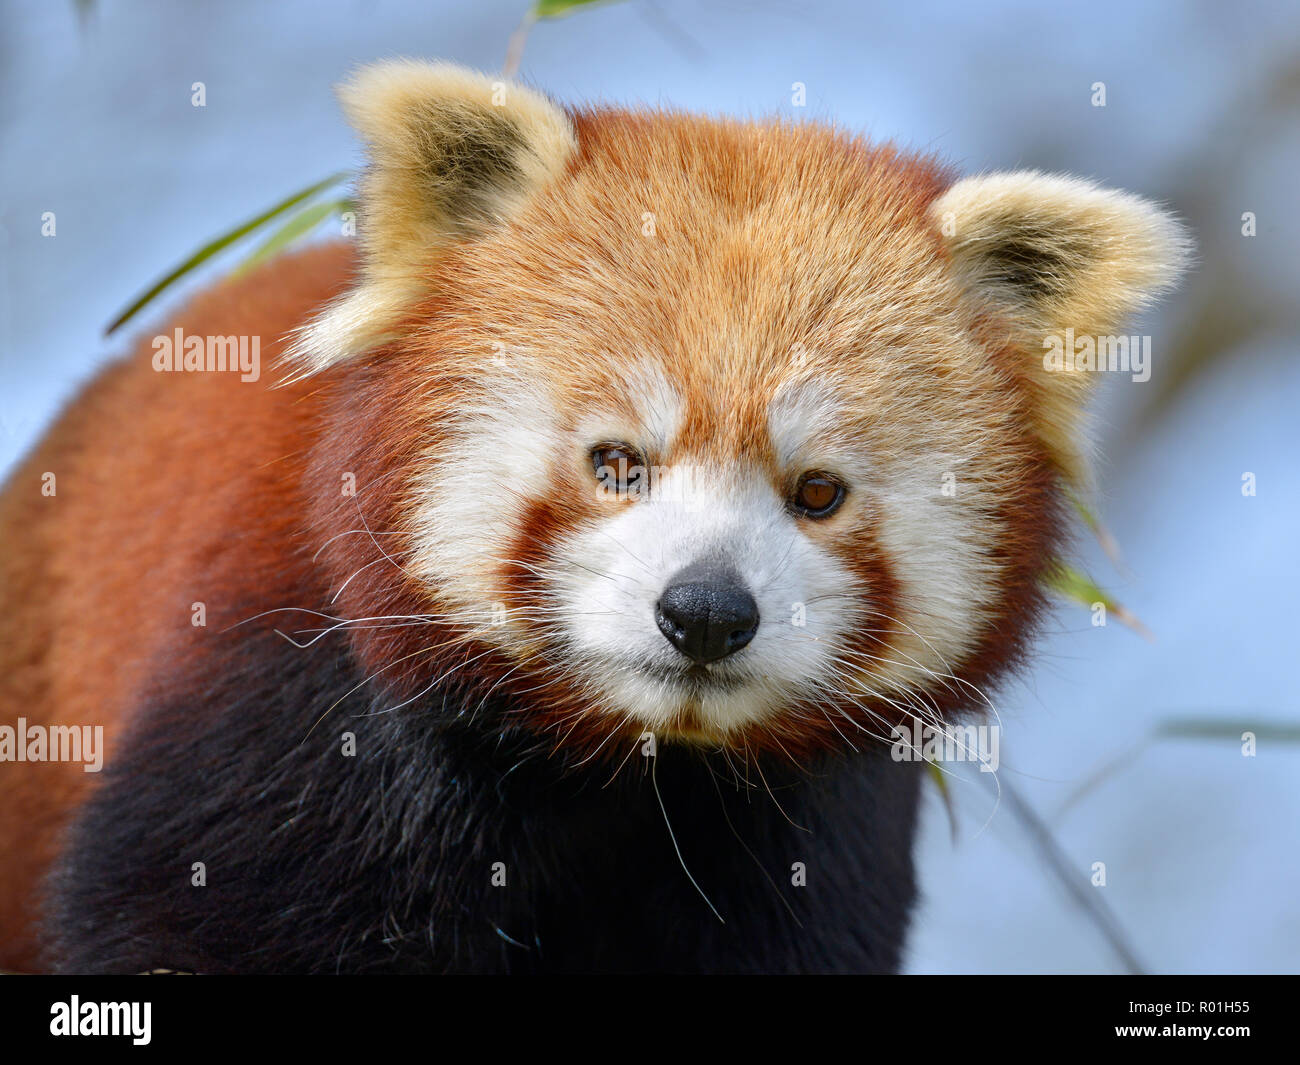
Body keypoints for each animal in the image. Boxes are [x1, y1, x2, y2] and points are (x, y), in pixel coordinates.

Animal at [0, 60, 1190, 972]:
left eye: (816, 492)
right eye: (617, 463)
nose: (705, 613)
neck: (627, 766)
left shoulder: (815, 820)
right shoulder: (299, 704)